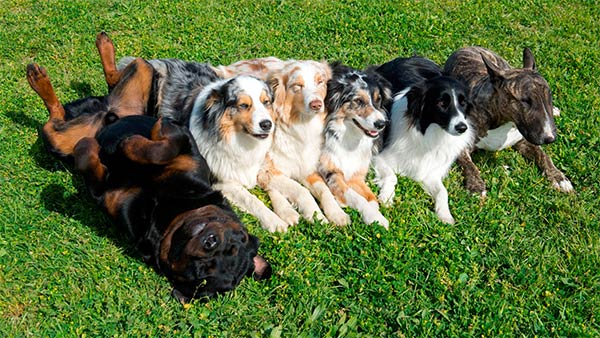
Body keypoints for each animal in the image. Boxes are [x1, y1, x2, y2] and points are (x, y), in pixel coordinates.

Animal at [27, 59, 270, 304]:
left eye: (204, 276)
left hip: (59, 143)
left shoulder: (103, 191)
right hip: (141, 84)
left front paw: (96, 147)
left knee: (55, 122)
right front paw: (135, 142)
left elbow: (87, 157)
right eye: (236, 240)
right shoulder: (184, 141)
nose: (211, 242)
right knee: (124, 71)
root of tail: (101, 111)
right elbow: (161, 146)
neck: (170, 210)